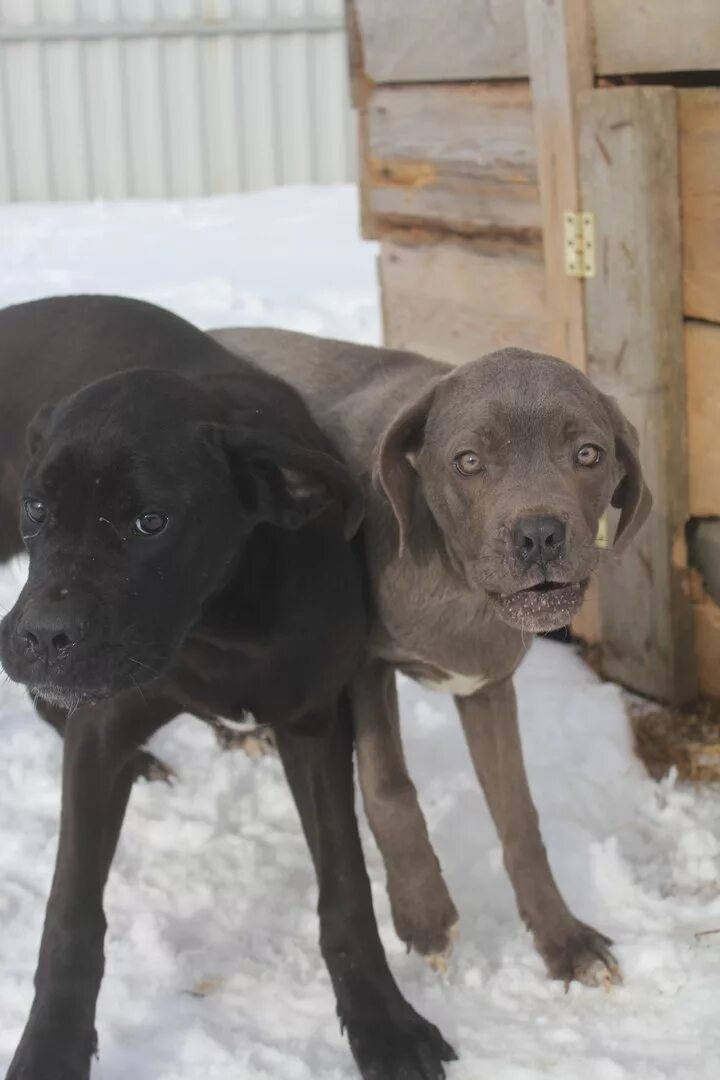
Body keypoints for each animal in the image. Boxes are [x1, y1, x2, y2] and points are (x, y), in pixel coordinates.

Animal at [0, 295, 455, 1080]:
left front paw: (382, 1022)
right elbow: (72, 915)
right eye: (38, 509)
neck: (221, 619)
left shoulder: (313, 725)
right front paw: (50, 1048)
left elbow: (347, 890)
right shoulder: (102, 728)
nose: (42, 640)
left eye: (151, 521)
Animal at [211, 328, 651, 989]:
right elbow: (387, 786)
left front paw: (563, 939)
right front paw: (424, 915)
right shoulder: (363, 667)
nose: (540, 536)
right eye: (468, 461)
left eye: (588, 455)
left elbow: (519, 818)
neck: (457, 585)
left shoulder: (487, 687)